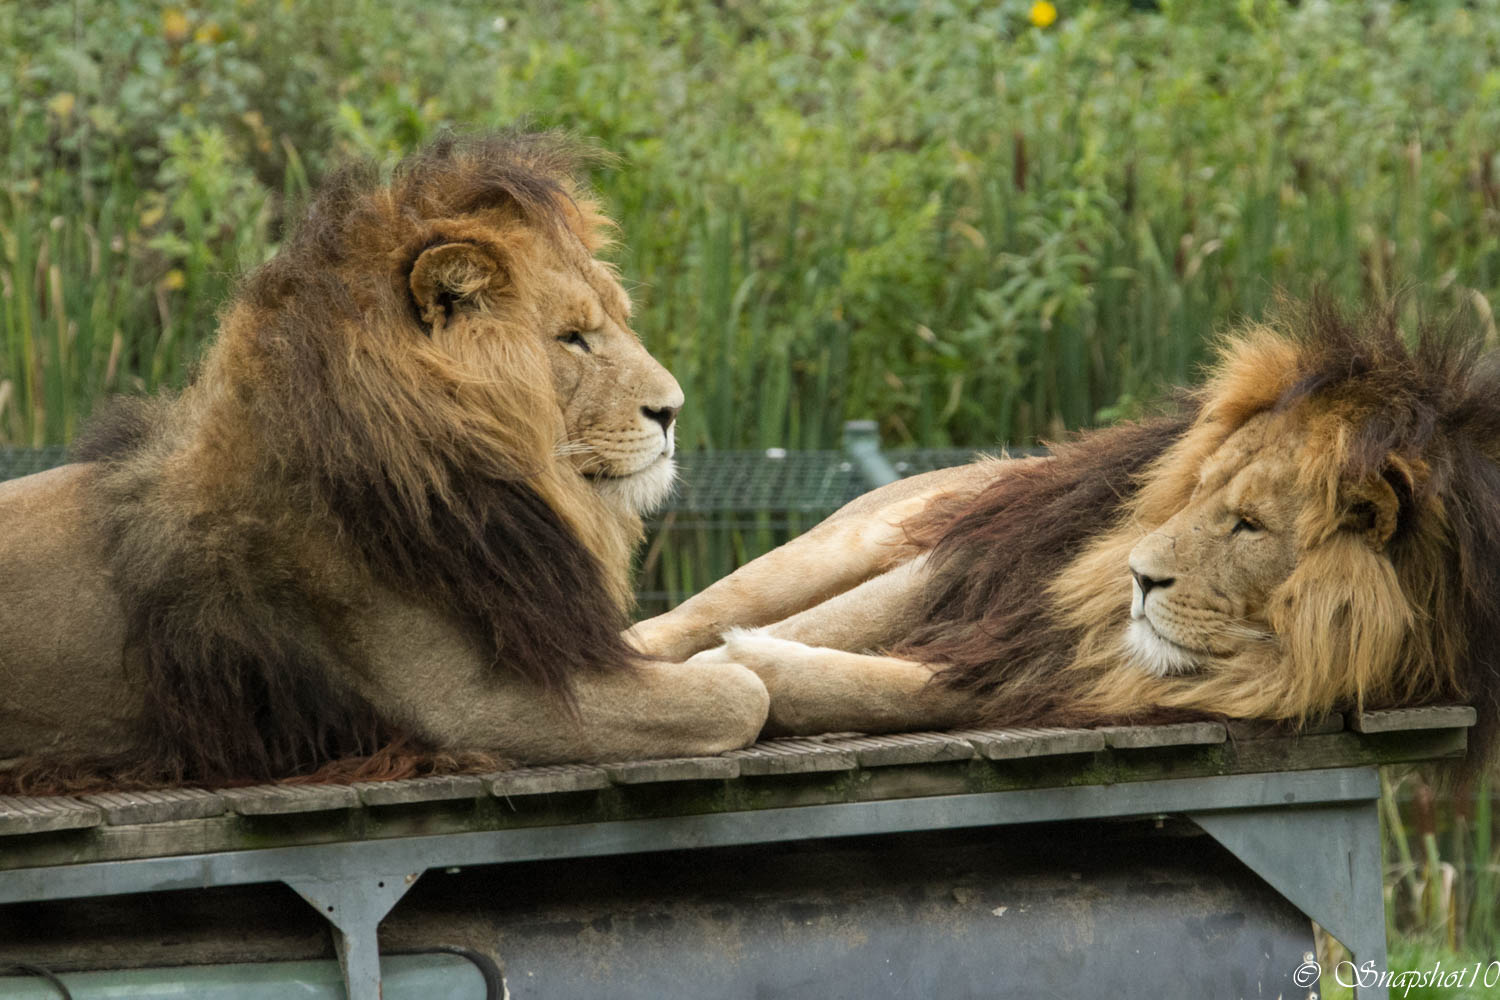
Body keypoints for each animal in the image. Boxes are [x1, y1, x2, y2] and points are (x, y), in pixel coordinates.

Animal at [633, 301, 1500, 779]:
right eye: (1196, 495)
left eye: (1248, 525)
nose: (1137, 578)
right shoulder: (975, 570)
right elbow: (829, 625)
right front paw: (705, 676)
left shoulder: (1049, 673)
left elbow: (879, 685)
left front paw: (751, 671)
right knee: (684, 617)